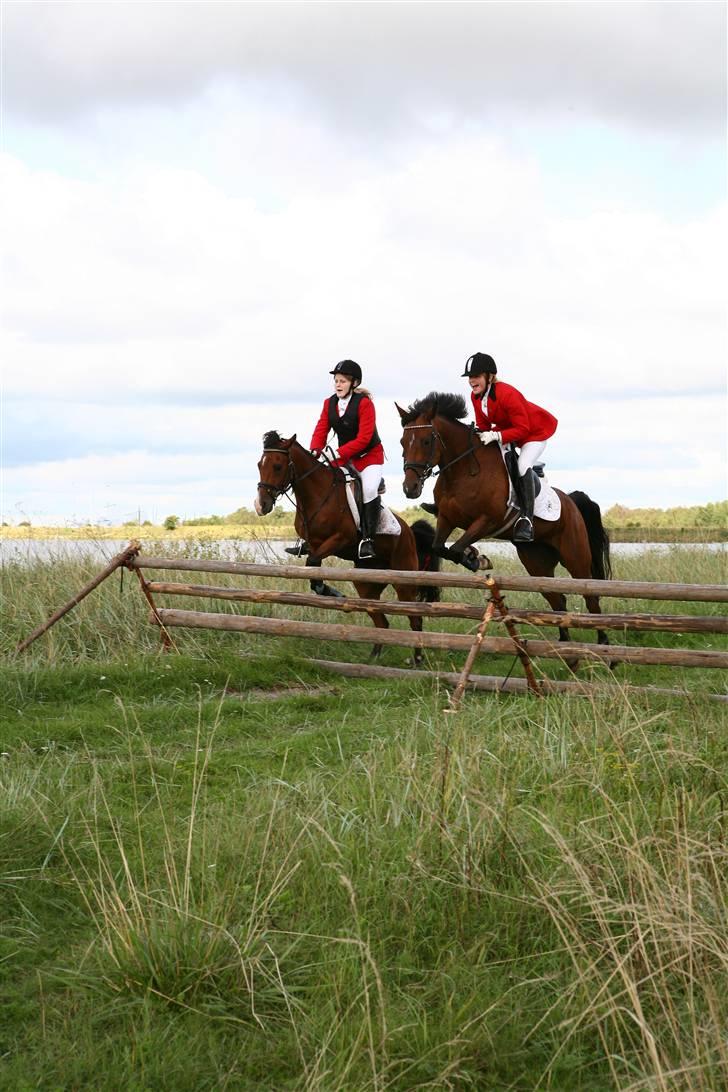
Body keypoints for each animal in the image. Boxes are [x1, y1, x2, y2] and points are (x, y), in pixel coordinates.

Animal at [253, 434, 440, 663]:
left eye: (278, 466)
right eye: (259, 465)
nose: (261, 505)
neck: (317, 493)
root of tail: (409, 531)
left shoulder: (340, 539)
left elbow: (312, 564)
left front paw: (332, 592)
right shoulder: (314, 544)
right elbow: (313, 570)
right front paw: (332, 593)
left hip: (403, 579)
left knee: (415, 619)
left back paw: (417, 659)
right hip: (366, 584)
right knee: (381, 621)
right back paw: (374, 658)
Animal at [395, 395, 611, 642]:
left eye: (426, 442)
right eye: (402, 442)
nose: (410, 488)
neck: (463, 470)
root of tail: (571, 500)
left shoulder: (488, 520)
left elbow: (457, 548)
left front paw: (477, 560)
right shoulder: (447, 519)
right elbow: (441, 548)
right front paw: (474, 555)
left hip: (575, 556)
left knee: (591, 596)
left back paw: (603, 644)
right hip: (536, 561)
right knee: (557, 599)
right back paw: (564, 644)